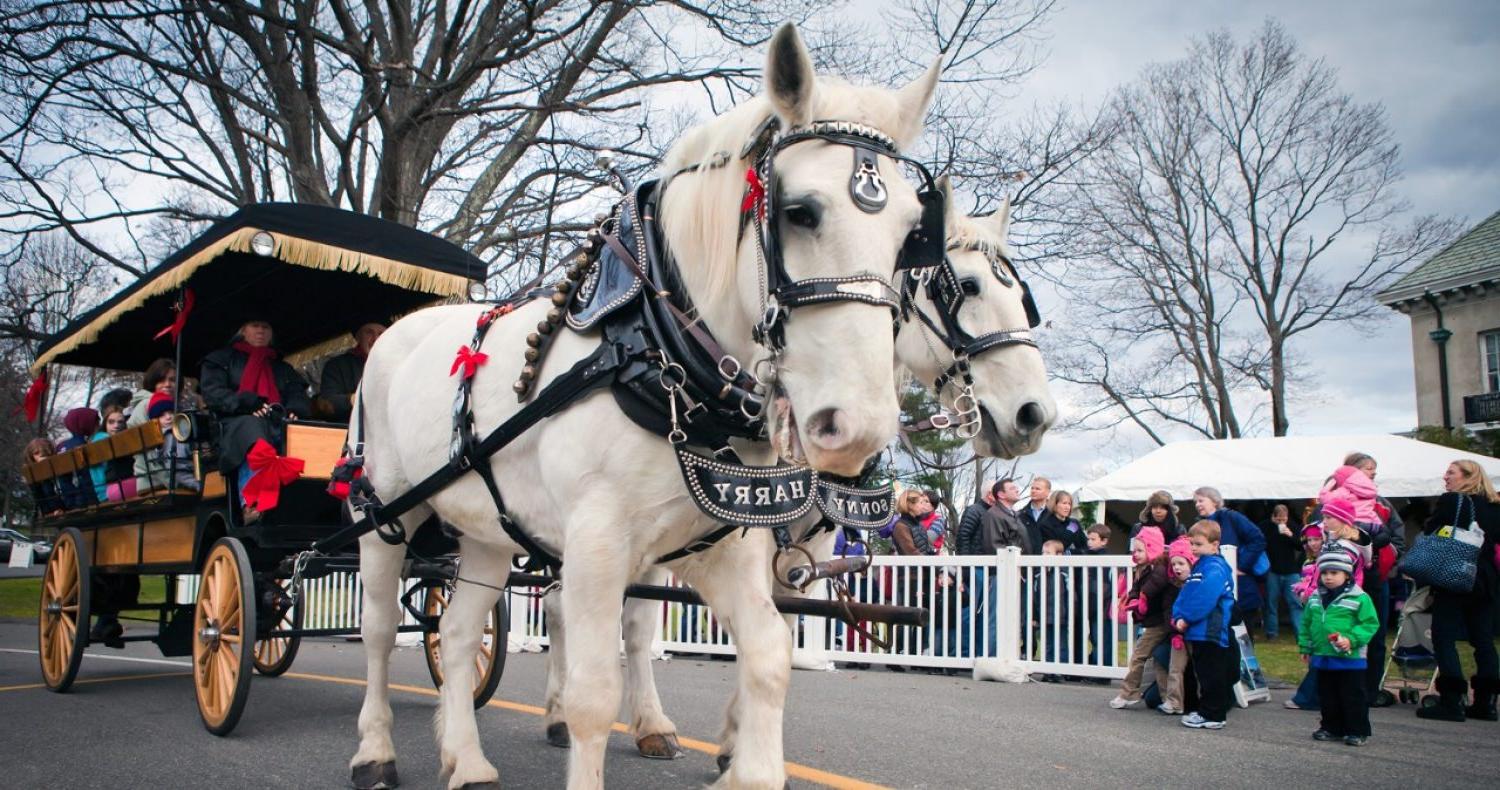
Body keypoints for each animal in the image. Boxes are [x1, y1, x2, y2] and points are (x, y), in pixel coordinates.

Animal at [345, 23, 942, 790]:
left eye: (912, 235)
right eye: (801, 212)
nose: (857, 428)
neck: (657, 352)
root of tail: (398, 331)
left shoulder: (722, 547)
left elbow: (768, 654)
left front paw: (743, 763)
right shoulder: (596, 545)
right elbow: (594, 692)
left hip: (486, 532)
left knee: (453, 633)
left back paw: (467, 759)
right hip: (385, 510)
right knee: (380, 630)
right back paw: (376, 751)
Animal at [543, 185, 1056, 767]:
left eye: (1022, 296)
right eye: (966, 287)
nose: (1034, 415)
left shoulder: (802, 550)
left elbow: (781, 627)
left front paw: (736, 739)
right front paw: (739, 743)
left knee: (633, 626)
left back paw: (650, 724)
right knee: (563, 610)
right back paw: (560, 714)